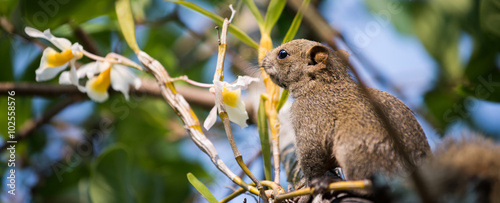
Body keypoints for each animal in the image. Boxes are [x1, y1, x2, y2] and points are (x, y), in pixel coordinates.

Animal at [260, 38, 432, 186]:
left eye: (283, 54)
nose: (262, 61)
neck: (321, 85)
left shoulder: (309, 118)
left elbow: (311, 158)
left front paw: (310, 182)